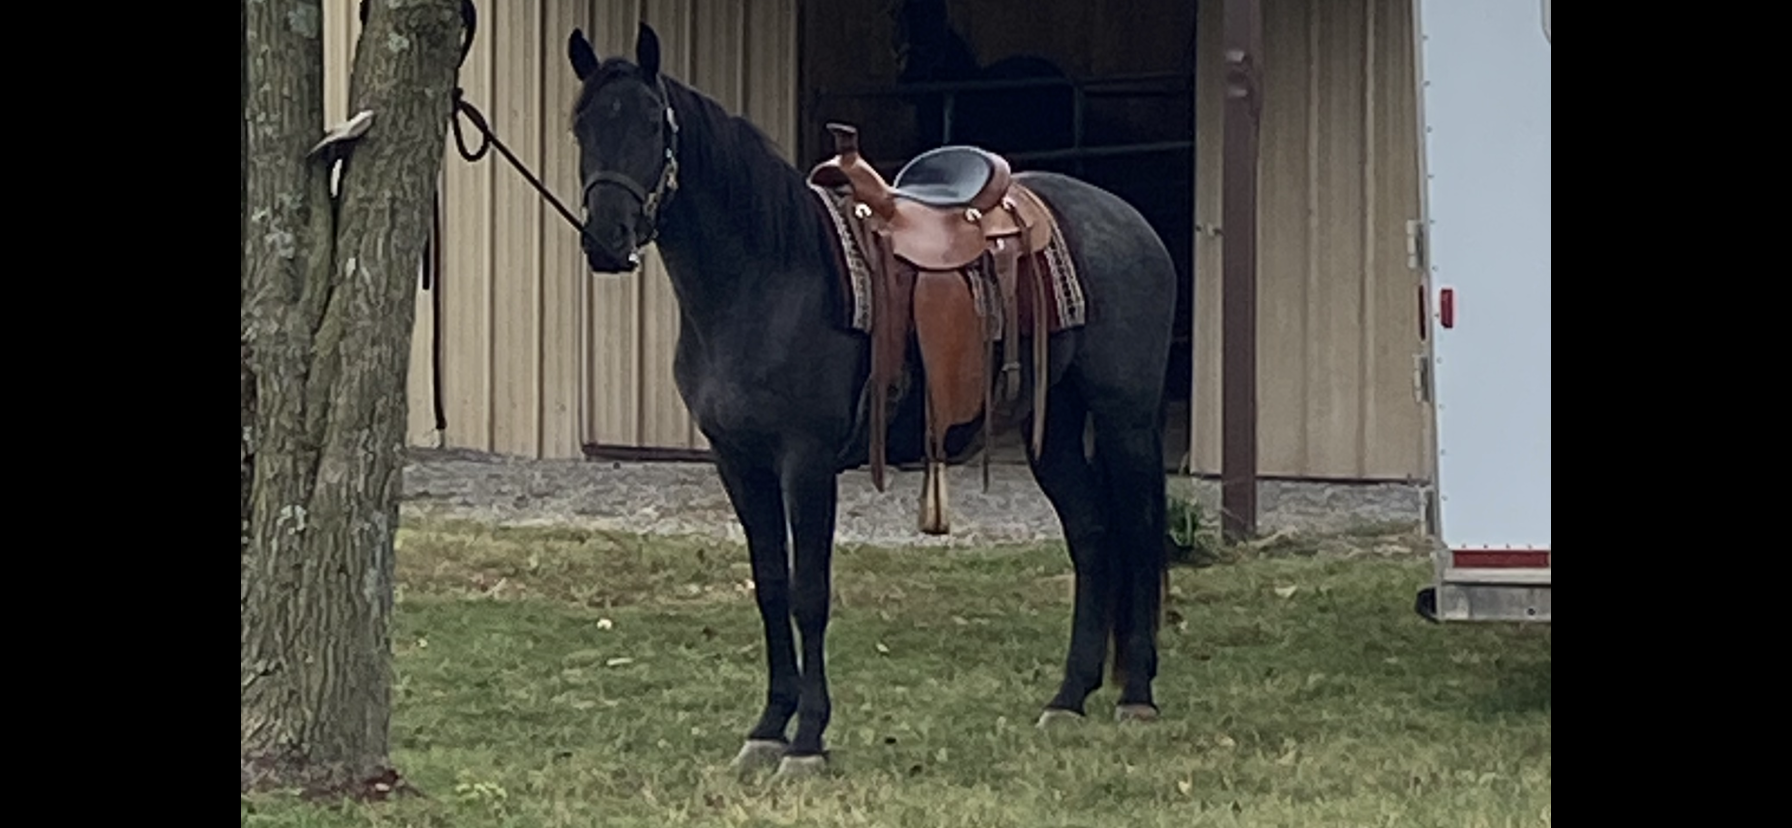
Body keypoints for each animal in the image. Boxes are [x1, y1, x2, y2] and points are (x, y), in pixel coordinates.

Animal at [565, 22, 1178, 778]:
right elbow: (770, 586)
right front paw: (768, 727)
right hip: (1053, 425)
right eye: (581, 125)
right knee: (1092, 536)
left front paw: (807, 739)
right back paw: (1067, 698)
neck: (767, 276)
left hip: (1125, 419)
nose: (606, 240)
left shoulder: (805, 461)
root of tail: (1127, 220)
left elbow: (809, 594)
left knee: (1139, 532)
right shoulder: (738, 462)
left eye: (653, 124)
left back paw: (1137, 695)